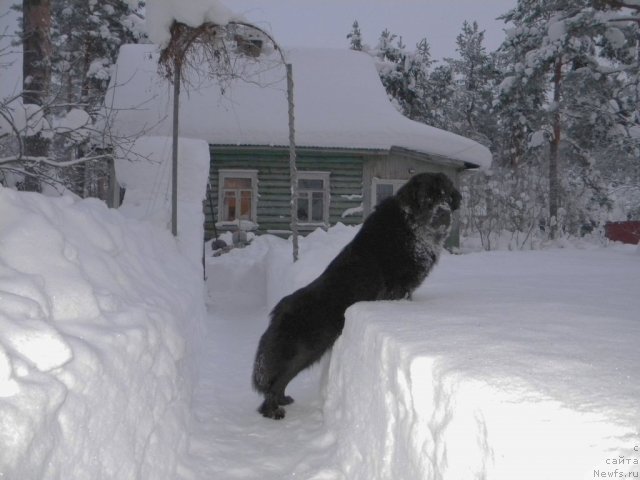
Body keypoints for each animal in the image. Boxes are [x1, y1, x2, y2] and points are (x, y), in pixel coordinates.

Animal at [250, 173, 460, 420]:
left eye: (446, 197)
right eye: (428, 198)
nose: (444, 212)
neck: (412, 228)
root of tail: (279, 310)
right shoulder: (398, 287)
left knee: (280, 380)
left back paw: (281, 400)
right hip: (304, 350)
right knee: (275, 381)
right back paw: (272, 410)